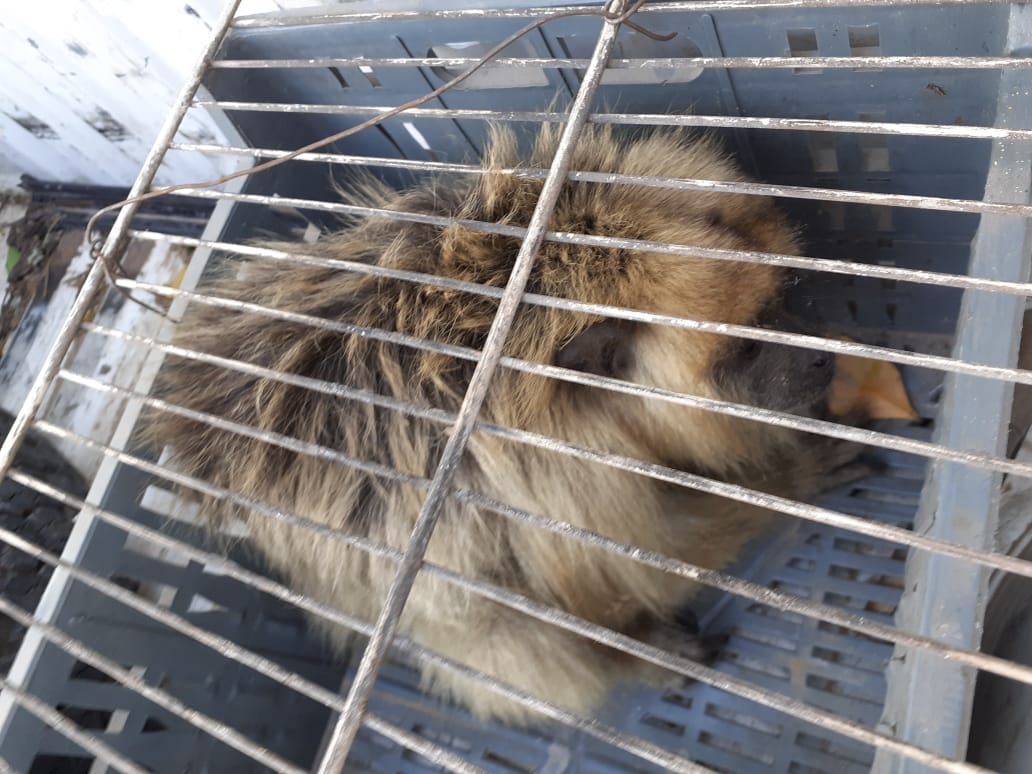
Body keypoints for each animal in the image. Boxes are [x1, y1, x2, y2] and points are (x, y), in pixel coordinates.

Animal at [142, 121, 865, 727]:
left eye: (780, 303)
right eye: (743, 350)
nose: (821, 360)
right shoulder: (562, 477)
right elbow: (635, 559)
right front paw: (792, 475)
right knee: (518, 637)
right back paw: (638, 654)